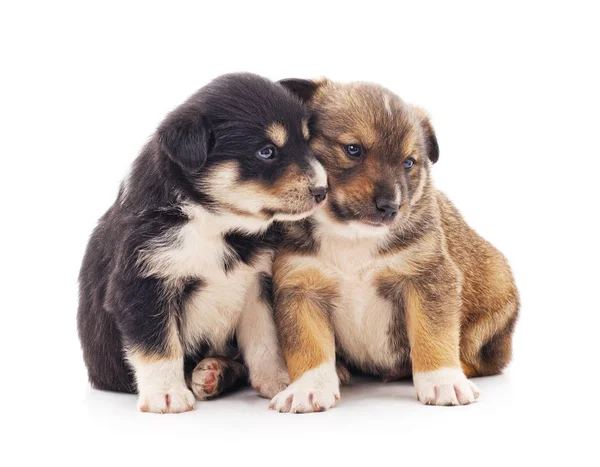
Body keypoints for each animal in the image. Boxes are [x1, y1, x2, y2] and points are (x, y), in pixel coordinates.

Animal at [77, 73, 328, 414]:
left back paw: (214, 372)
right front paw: (166, 394)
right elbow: (158, 344)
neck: (213, 224)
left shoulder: (256, 283)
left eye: (306, 143)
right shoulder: (143, 283)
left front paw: (278, 381)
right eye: (266, 152)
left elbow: (265, 340)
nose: (322, 191)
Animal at [270, 79, 516, 414]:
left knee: (483, 359)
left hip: (496, 297)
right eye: (353, 149)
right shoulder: (299, 289)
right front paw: (309, 388)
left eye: (409, 162)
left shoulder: (428, 277)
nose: (390, 207)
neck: (353, 235)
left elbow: (433, 334)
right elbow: (308, 345)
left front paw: (442, 381)